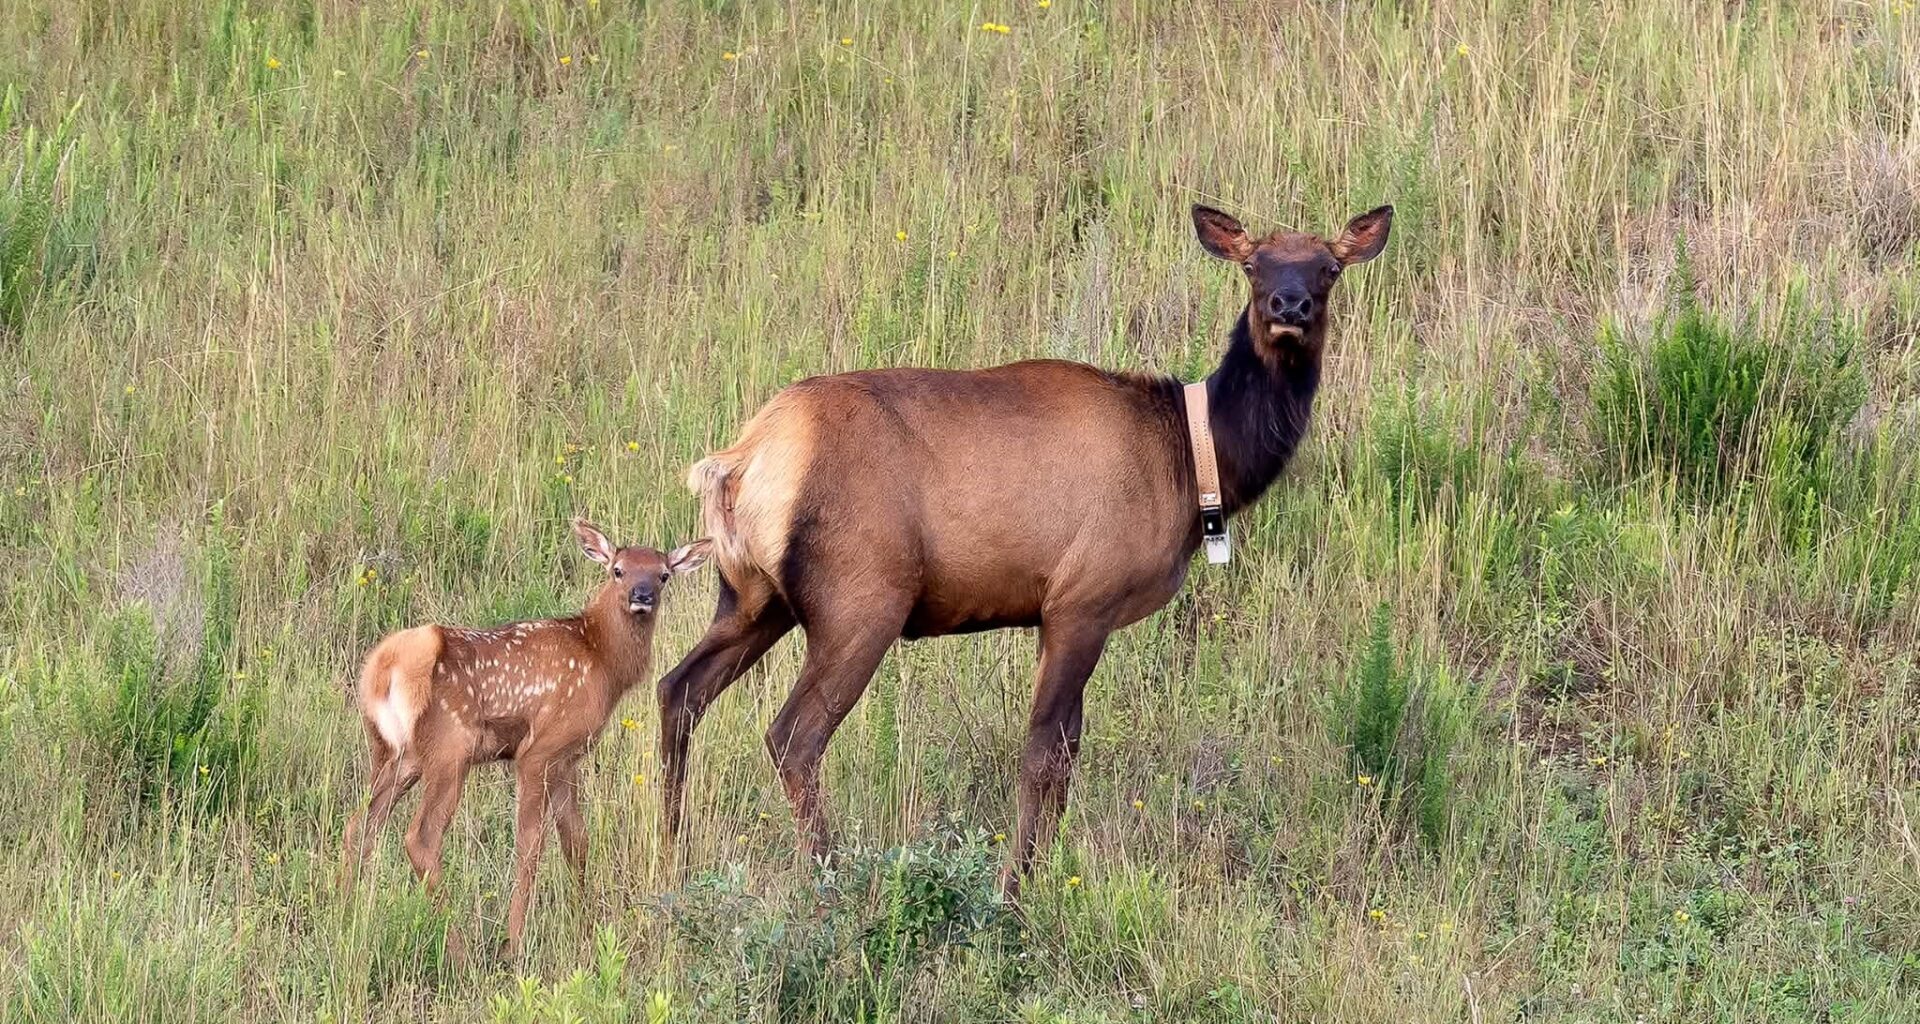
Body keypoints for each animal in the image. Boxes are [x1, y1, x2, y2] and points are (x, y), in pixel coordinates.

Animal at [341, 519, 711, 955]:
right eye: (617, 570)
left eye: (663, 574)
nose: (642, 595)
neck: (601, 659)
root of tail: (386, 667)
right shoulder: (540, 749)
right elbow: (530, 845)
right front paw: (516, 941)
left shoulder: (568, 758)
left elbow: (576, 840)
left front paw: (585, 925)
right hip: (451, 749)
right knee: (420, 837)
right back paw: (460, 948)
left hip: (395, 753)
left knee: (360, 825)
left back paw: (343, 917)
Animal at [655, 202, 1391, 892]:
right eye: (1253, 265)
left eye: (1328, 268)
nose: (1289, 307)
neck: (1193, 469)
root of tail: (738, 462)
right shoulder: (1082, 599)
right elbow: (1043, 754)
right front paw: (1015, 888)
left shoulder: (1059, 613)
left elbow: (1066, 753)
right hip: (859, 600)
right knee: (793, 736)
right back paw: (830, 876)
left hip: (752, 596)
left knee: (677, 689)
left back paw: (673, 856)